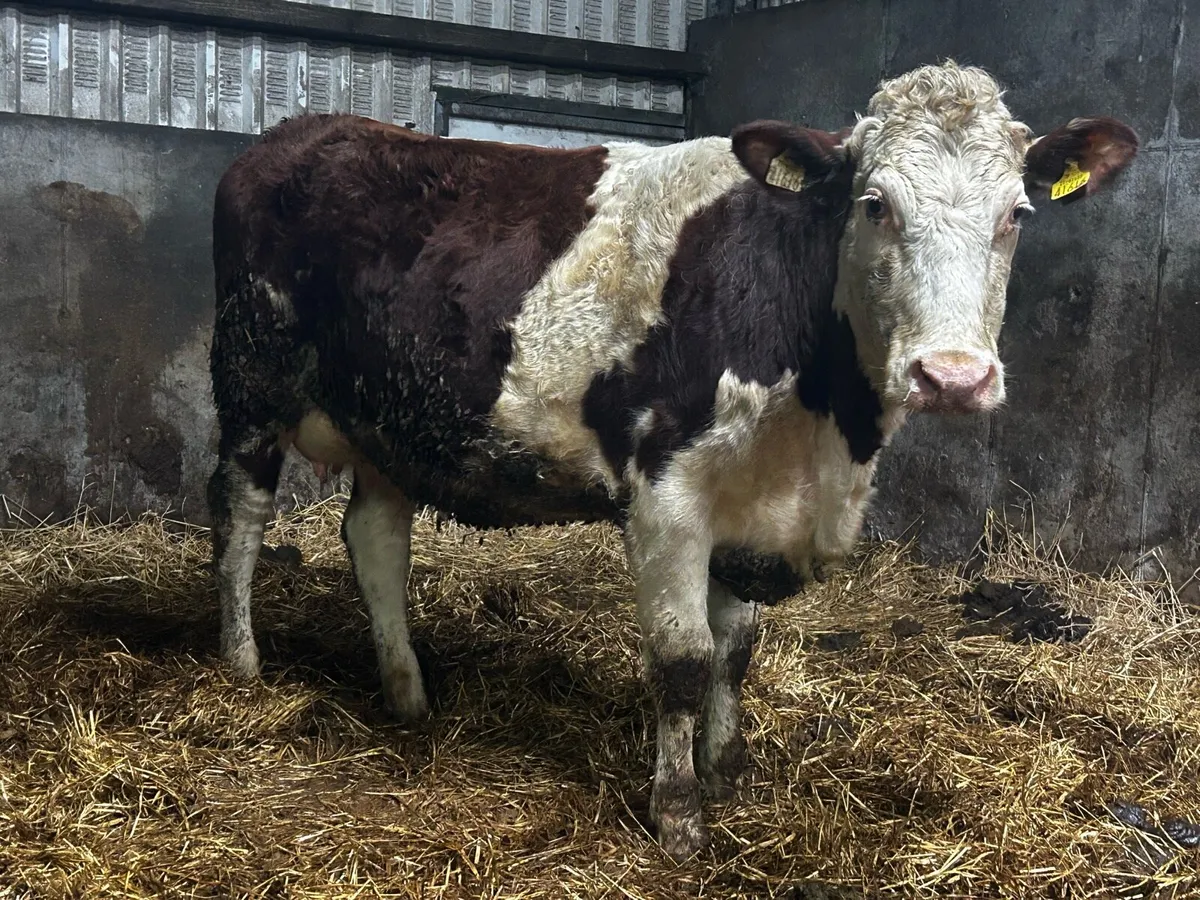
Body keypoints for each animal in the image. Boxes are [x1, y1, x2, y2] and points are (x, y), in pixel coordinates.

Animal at [206, 61, 1137, 860]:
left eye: (1016, 215)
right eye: (875, 203)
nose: (953, 376)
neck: (824, 434)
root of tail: (296, 133)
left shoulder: (753, 505)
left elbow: (737, 653)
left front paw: (727, 771)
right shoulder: (668, 494)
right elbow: (685, 659)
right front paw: (679, 812)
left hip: (390, 421)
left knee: (374, 539)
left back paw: (407, 694)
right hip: (253, 378)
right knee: (241, 514)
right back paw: (242, 664)